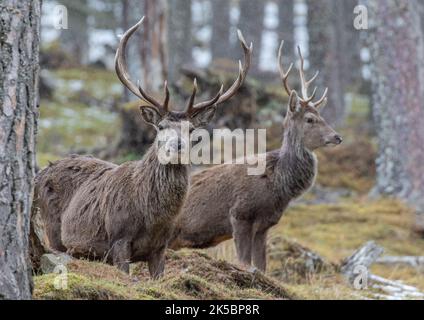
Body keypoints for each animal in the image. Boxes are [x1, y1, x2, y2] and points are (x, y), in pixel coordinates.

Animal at [34, 16, 252, 278]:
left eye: (191, 129)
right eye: (161, 126)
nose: (177, 146)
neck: (153, 219)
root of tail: (41, 172)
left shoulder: (161, 246)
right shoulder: (118, 238)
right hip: (53, 230)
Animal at [169, 42, 342, 272]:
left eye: (320, 115)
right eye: (310, 119)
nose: (337, 137)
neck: (277, 184)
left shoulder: (265, 225)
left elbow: (262, 267)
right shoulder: (240, 215)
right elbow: (244, 262)